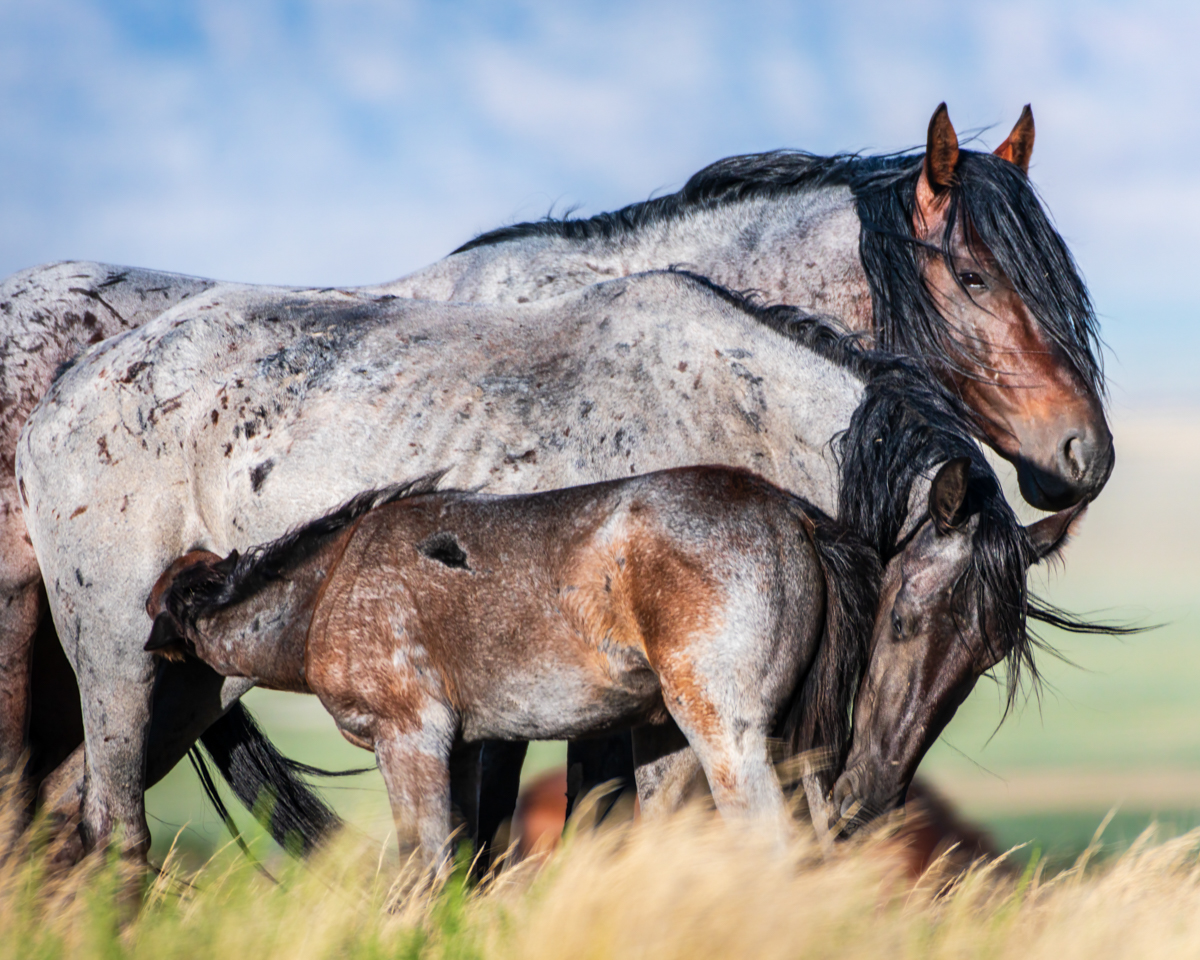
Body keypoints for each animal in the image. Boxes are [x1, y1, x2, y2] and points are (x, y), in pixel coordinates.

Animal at [0, 103, 1111, 834]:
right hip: (104, 653)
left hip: (185, 679)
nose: (1085, 454)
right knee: (99, 822)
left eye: (981, 663)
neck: (729, 394)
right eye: (974, 275)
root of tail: (77, 383)